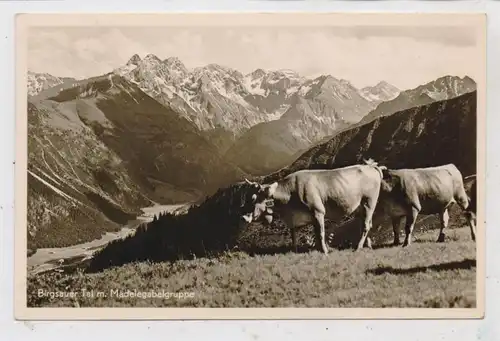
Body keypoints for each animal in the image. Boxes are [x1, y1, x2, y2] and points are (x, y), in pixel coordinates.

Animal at [241, 159, 386, 252]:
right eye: (246, 197)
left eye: (254, 199)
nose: (244, 217)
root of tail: (371, 167)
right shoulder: (296, 219)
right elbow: (294, 235)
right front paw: (297, 250)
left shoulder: (318, 211)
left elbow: (320, 233)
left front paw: (324, 251)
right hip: (361, 207)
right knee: (367, 224)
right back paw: (367, 246)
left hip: (369, 202)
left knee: (366, 225)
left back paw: (359, 247)